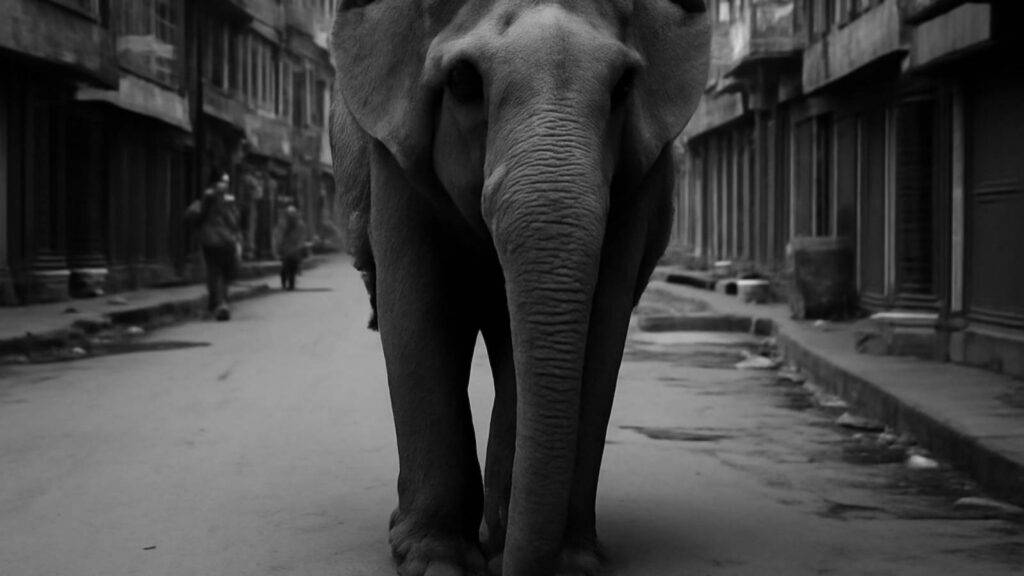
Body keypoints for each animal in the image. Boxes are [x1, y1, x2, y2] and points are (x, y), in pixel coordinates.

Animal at [329, 1, 710, 575]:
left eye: (623, 87)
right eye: (463, 81)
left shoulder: (638, 178)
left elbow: (602, 325)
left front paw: (569, 563)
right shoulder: (394, 153)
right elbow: (419, 311)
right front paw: (436, 563)